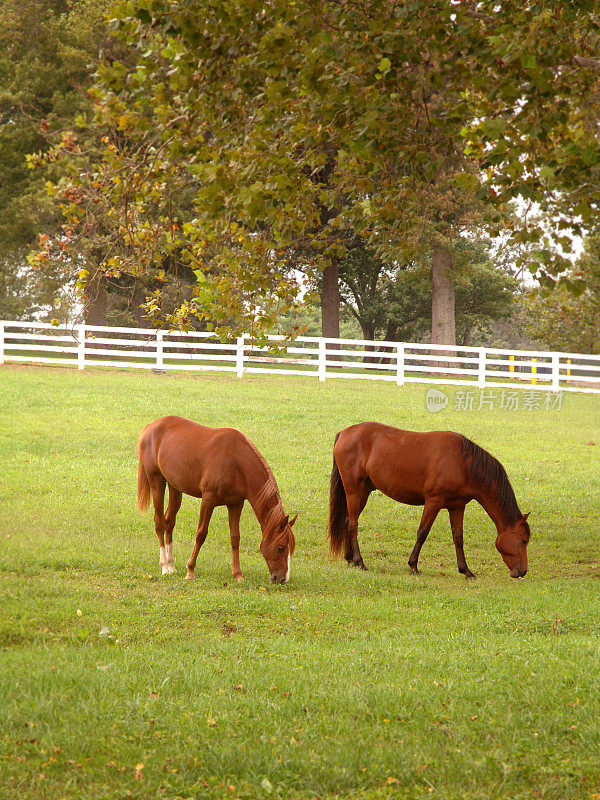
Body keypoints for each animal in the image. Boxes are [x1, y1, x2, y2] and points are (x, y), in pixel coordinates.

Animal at [137, 418, 296, 580]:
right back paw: (164, 565)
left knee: (169, 522)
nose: (282, 579)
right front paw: (190, 570)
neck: (237, 463)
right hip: (156, 481)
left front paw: (237, 574)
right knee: (159, 522)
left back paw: (171, 565)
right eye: (281, 547)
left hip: (174, 487)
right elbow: (201, 534)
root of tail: (151, 426)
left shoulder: (236, 504)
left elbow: (235, 537)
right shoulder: (208, 501)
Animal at [328, 422, 528, 580]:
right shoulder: (434, 501)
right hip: (354, 490)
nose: (523, 571)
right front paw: (413, 565)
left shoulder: (457, 507)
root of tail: (344, 433)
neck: (463, 464)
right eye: (524, 540)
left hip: (363, 492)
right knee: (353, 524)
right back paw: (360, 562)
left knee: (348, 521)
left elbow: (458, 538)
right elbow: (422, 533)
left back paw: (350, 559)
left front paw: (466, 571)